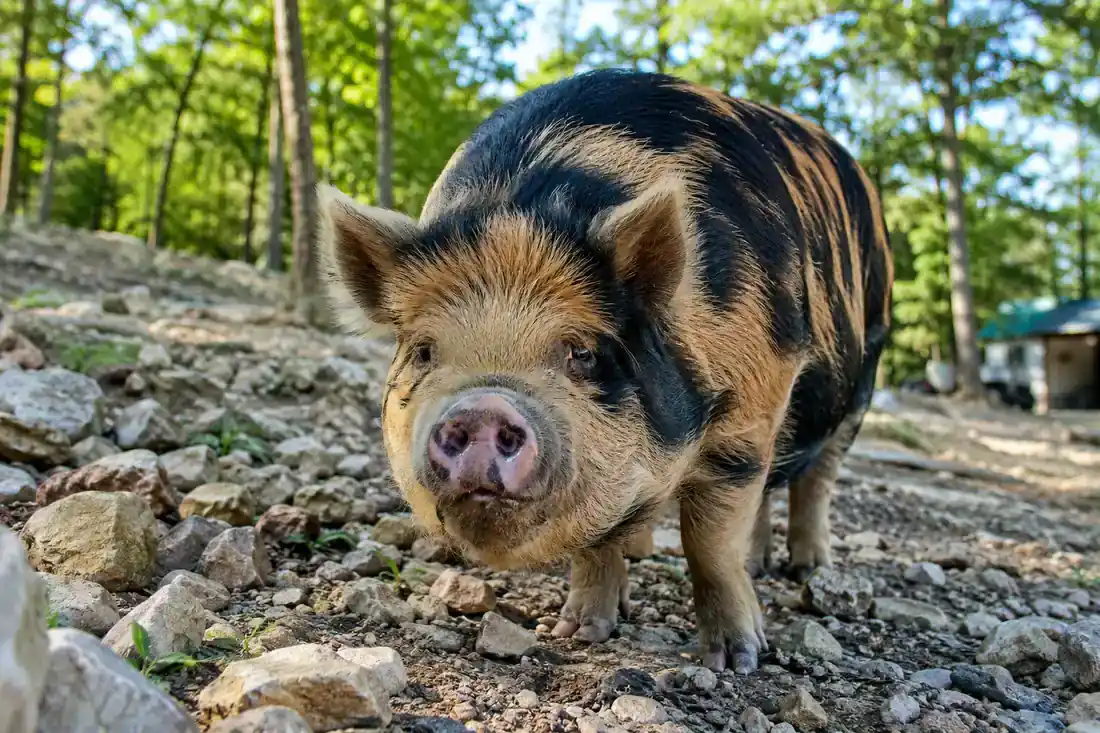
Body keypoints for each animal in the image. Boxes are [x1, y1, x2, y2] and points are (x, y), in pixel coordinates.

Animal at [316, 68, 894, 674]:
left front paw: (736, 661)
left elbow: (708, 539)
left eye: (582, 352)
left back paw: (809, 570)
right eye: (425, 351)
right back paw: (756, 565)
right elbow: (599, 539)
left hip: (867, 364)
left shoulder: (754, 402)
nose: (481, 407)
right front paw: (577, 632)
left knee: (816, 475)